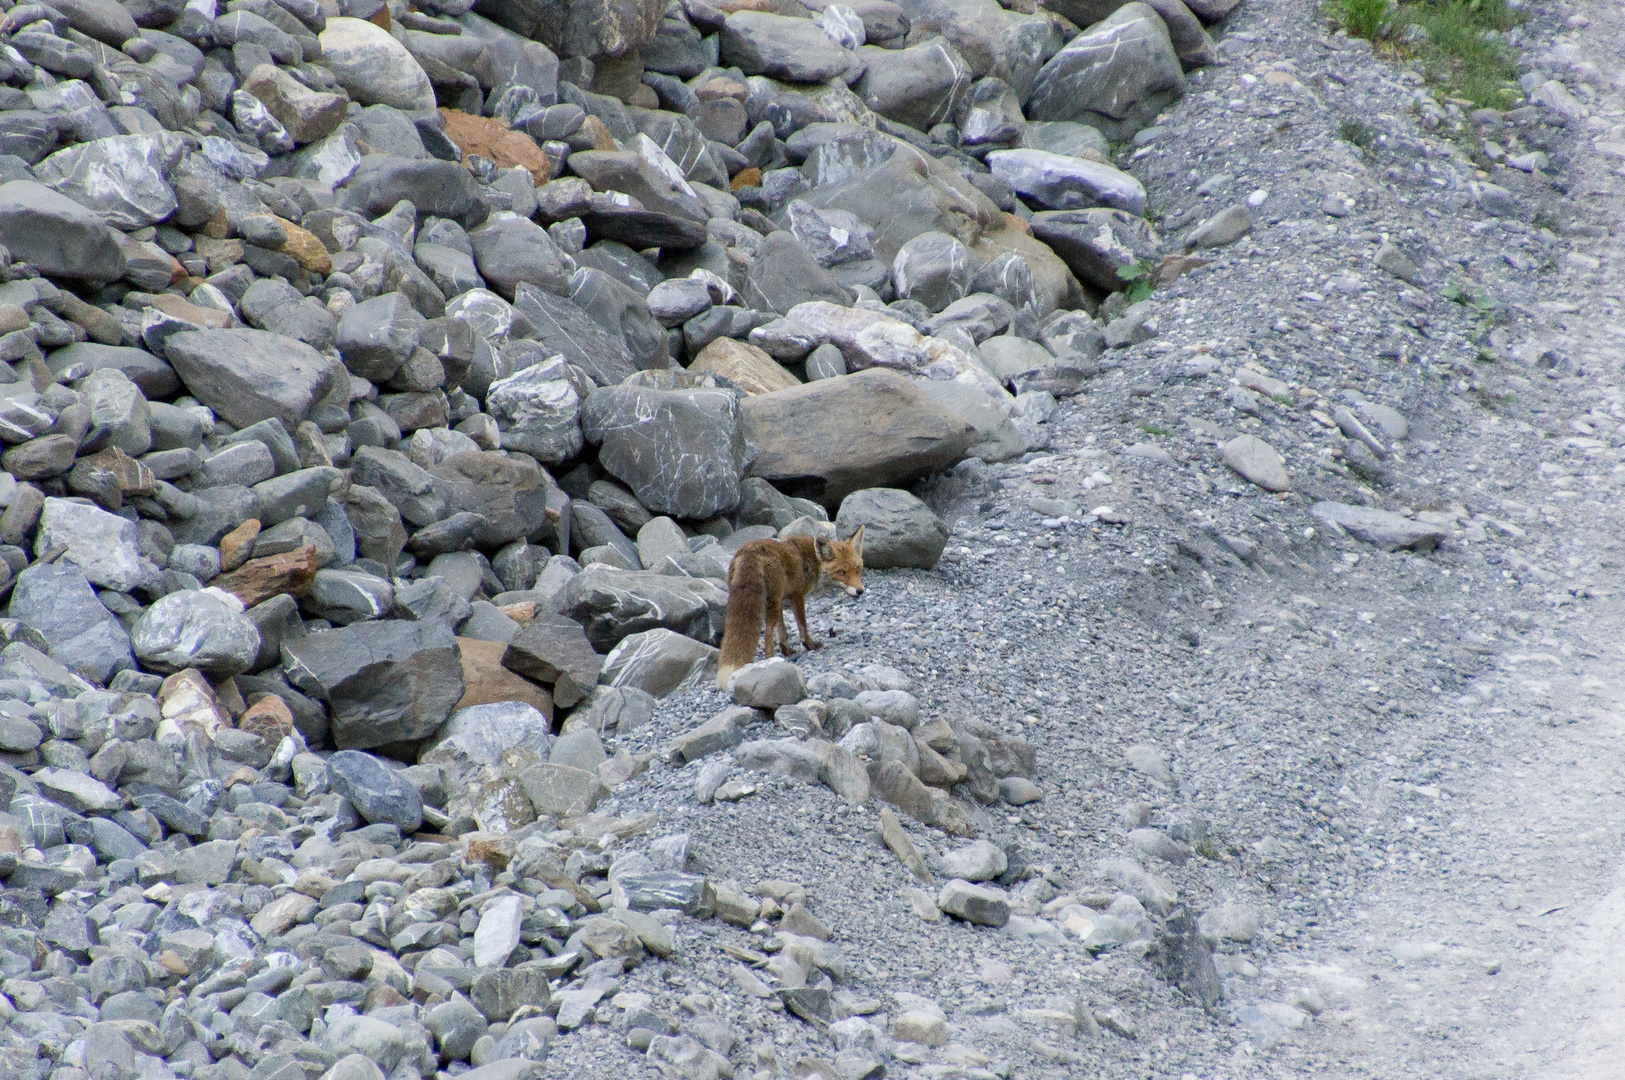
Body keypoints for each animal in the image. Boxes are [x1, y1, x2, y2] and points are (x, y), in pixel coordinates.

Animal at [711, 526, 864, 685]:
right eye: (841, 572)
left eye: (858, 569)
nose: (860, 591)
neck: (812, 562)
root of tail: (750, 550)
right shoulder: (797, 596)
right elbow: (802, 625)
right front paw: (810, 645)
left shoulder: (783, 599)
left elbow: (782, 630)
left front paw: (787, 650)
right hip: (772, 602)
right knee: (768, 633)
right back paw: (770, 661)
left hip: (767, 600)